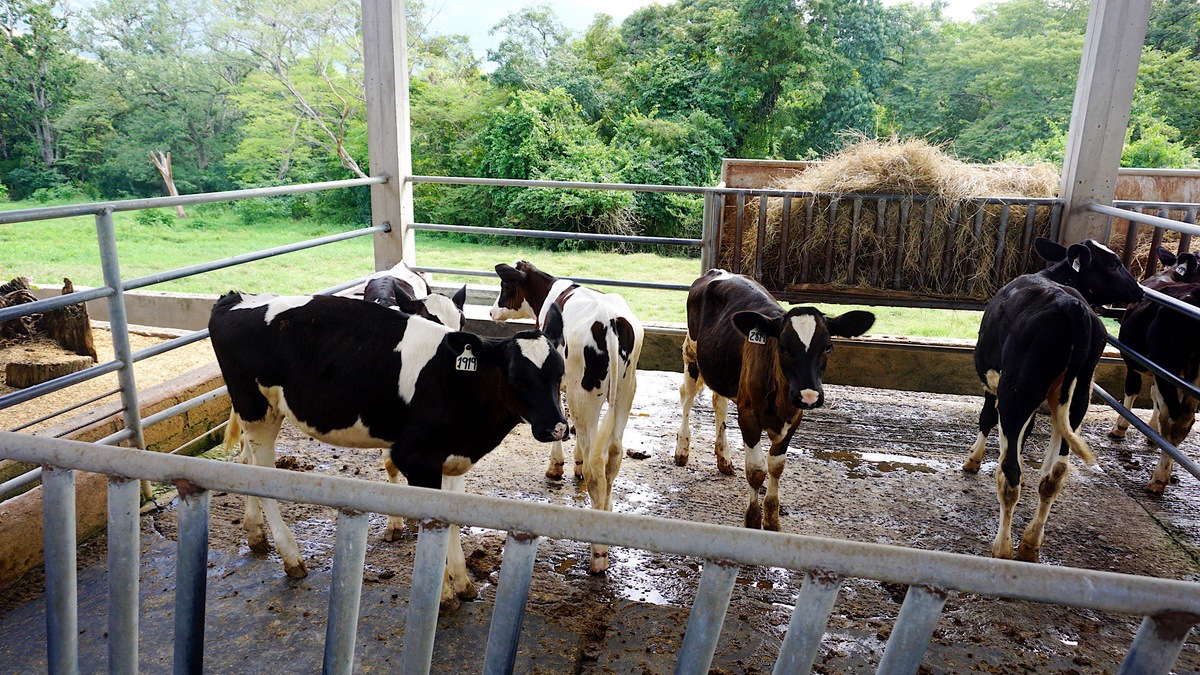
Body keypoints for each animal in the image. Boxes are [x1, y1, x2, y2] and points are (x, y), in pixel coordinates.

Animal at [211, 289, 566, 605]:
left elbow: (451, 517)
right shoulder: (415, 457)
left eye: (559, 373)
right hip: (256, 408)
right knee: (262, 473)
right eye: (517, 377)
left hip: (260, 413)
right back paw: (291, 556)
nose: (558, 427)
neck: (455, 383)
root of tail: (235, 297)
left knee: (246, 461)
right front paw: (442, 594)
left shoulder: (453, 456)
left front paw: (462, 582)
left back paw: (255, 533)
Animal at [487, 260, 643, 569]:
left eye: (505, 286)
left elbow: (559, 419)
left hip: (582, 392)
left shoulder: (557, 379)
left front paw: (556, 465)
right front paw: (575, 464)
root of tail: (610, 321)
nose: (491, 311)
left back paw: (598, 552)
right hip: (626, 390)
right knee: (613, 454)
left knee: (597, 464)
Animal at [676, 269, 873, 530]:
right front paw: (752, 518)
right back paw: (682, 450)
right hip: (691, 353)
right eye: (782, 346)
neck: (779, 397)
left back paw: (724, 458)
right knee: (687, 397)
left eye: (828, 347)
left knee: (719, 404)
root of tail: (718, 271)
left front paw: (771, 519)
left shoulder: (794, 416)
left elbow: (776, 466)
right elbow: (756, 470)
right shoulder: (748, 415)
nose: (809, 396)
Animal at [964, 237, 1142, 562]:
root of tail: (1073, 306)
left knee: (1011, 474)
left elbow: (987, 418)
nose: (1140, 291)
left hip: (1016, 392)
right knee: (1054, 475)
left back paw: (1003, 548)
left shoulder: (993, 382)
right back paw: (1030, 543)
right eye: (1113, 264)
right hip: (1076, 397)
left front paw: (973, 459)